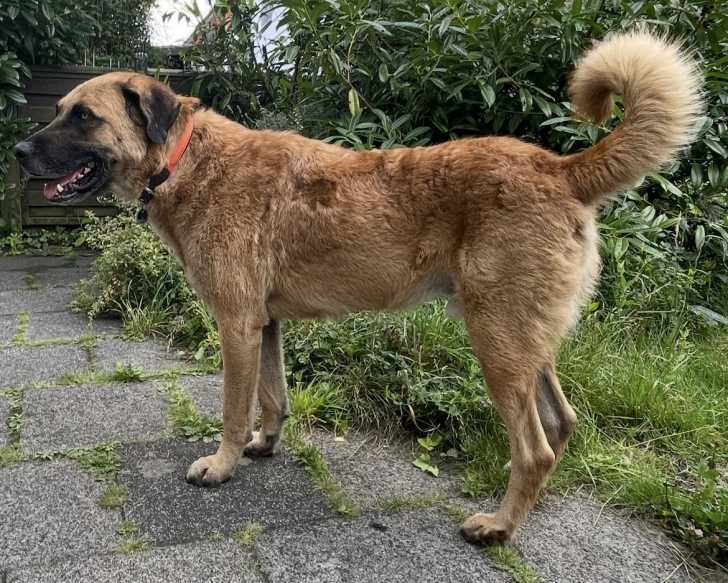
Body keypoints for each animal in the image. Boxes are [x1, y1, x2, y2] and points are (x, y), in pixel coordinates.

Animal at [15, 30, 701, 544]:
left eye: (84, 116)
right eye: (58, 110)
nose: (19, 150)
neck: (185, 159)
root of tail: (560, 169)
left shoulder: (236, 325)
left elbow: (235, 409)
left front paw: (222, 465)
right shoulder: (265, 325)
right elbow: (274, 398)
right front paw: (265, 445)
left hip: (497, 343)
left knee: (534, 447)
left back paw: (499, 525)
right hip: (524, 340)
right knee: (559, 427)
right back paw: (527, 506)